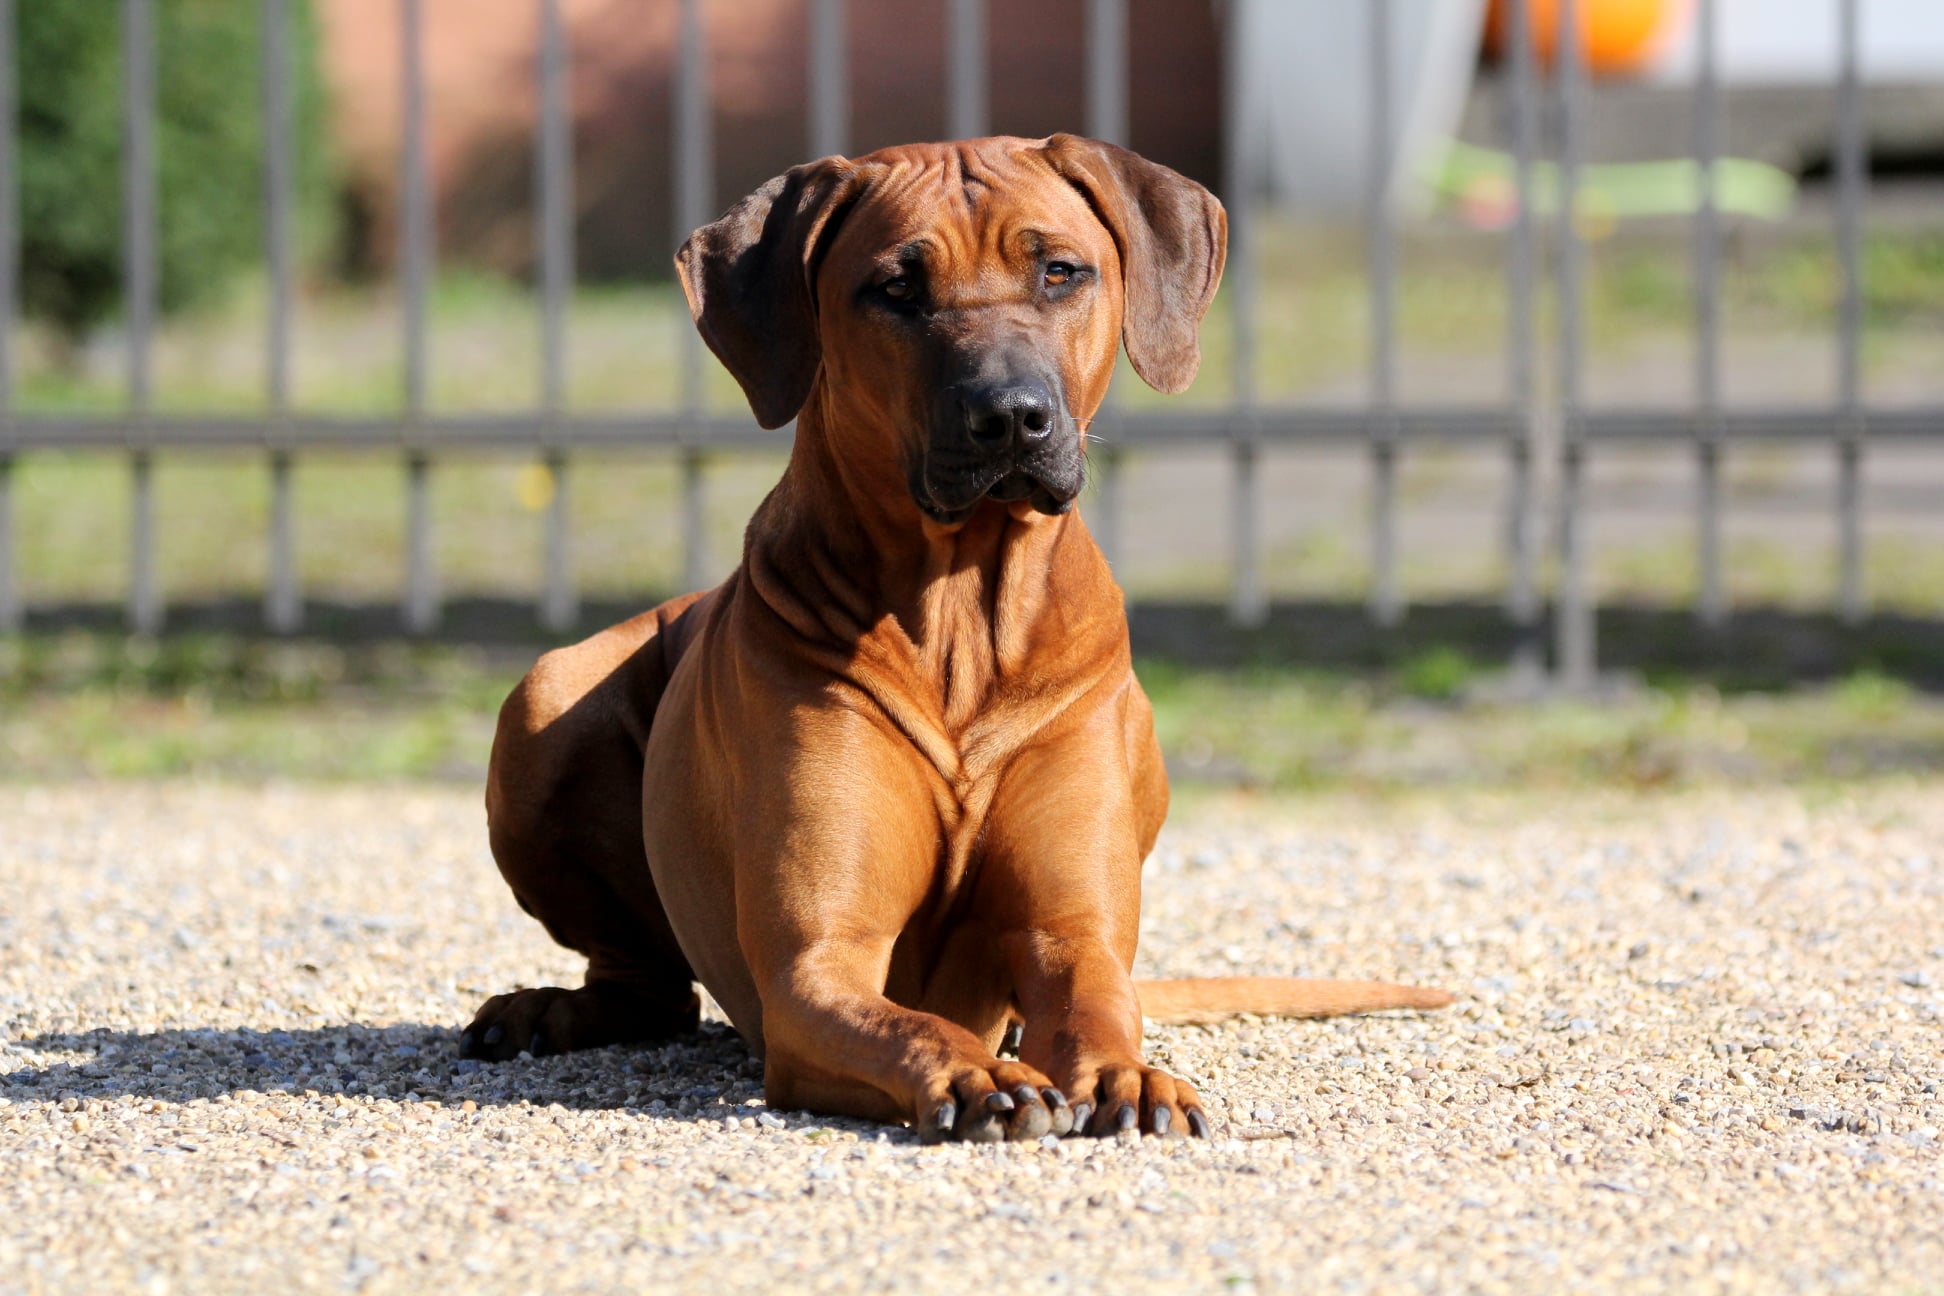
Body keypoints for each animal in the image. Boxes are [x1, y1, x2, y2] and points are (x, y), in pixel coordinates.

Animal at [463, 135, 1451, 1141]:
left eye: (1060, 272)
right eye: (896, 288)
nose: (1011, 414)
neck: (962, 617)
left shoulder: (1071, 929)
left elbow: (1097, 998)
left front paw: (1130, 1076)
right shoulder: (815, 966)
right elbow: (899, 1021)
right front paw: (973, 1075)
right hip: (545, 698)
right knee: (651, 986)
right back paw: (547, 1009)